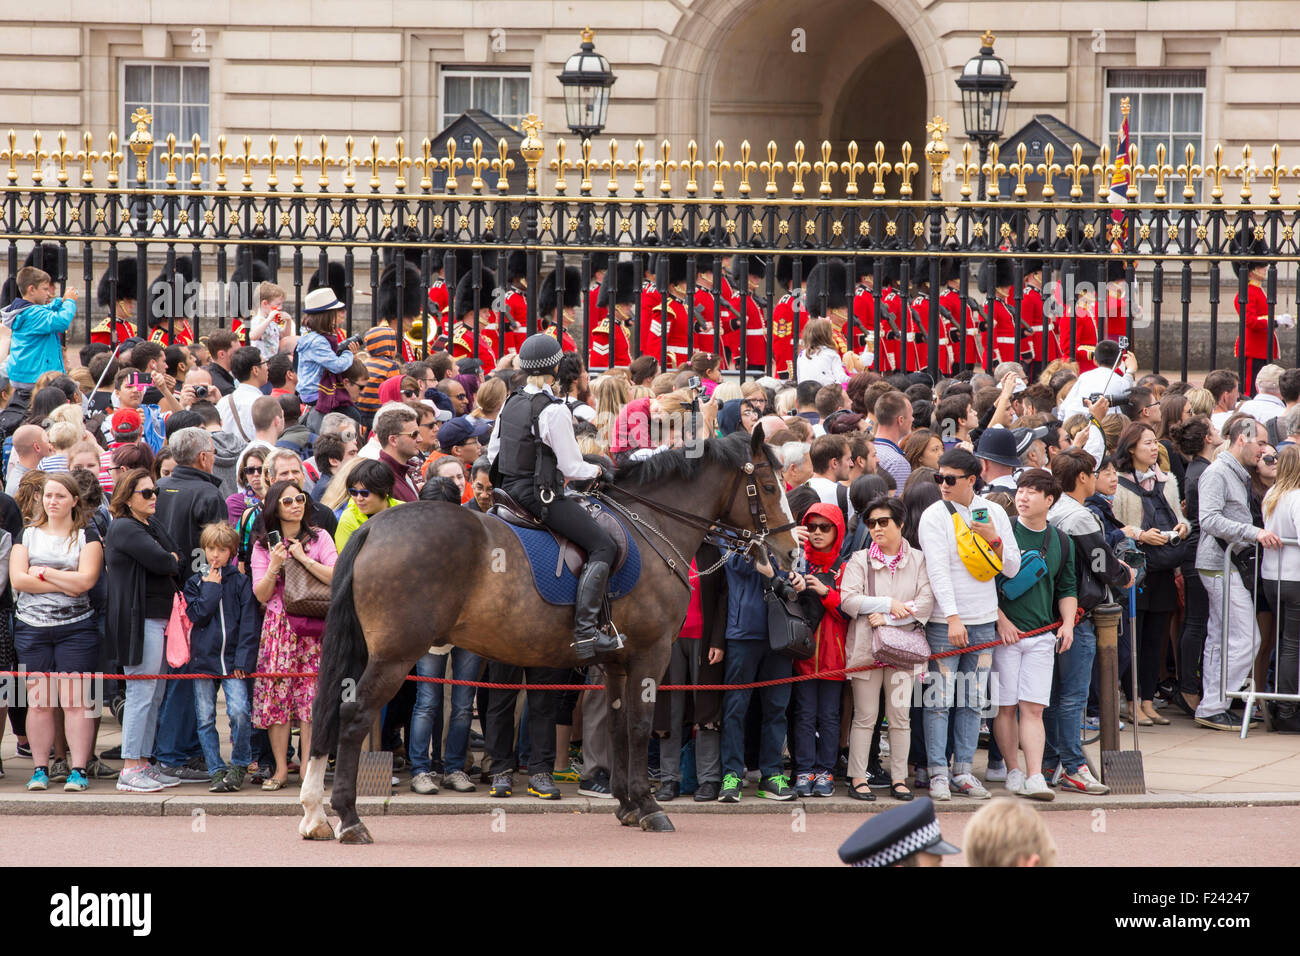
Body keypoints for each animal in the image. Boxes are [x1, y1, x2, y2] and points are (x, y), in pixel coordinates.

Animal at [297, 421, 795, 842]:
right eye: (770, 486)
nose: (791, 551)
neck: (650, 527)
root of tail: (375, 527)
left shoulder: (617, 663)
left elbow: (616, 728)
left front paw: (627, 804)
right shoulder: (649, 655)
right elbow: (638, 727)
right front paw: (649, 806)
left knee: (330, 713)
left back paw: (315, 814)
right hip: (395, 657)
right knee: (354, 717)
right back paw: (349, 818)